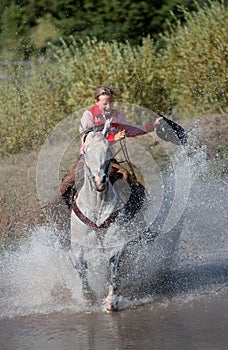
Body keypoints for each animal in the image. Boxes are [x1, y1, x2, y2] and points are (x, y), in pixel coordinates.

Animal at [70, 123, 178, 312]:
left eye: (107, 150)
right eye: (86, 150)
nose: (100, 181)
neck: (97, 210)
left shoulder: (118, 244)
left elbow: (114, 266)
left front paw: (111, 301)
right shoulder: (77, 247)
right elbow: (81, 268)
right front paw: (88, 297)